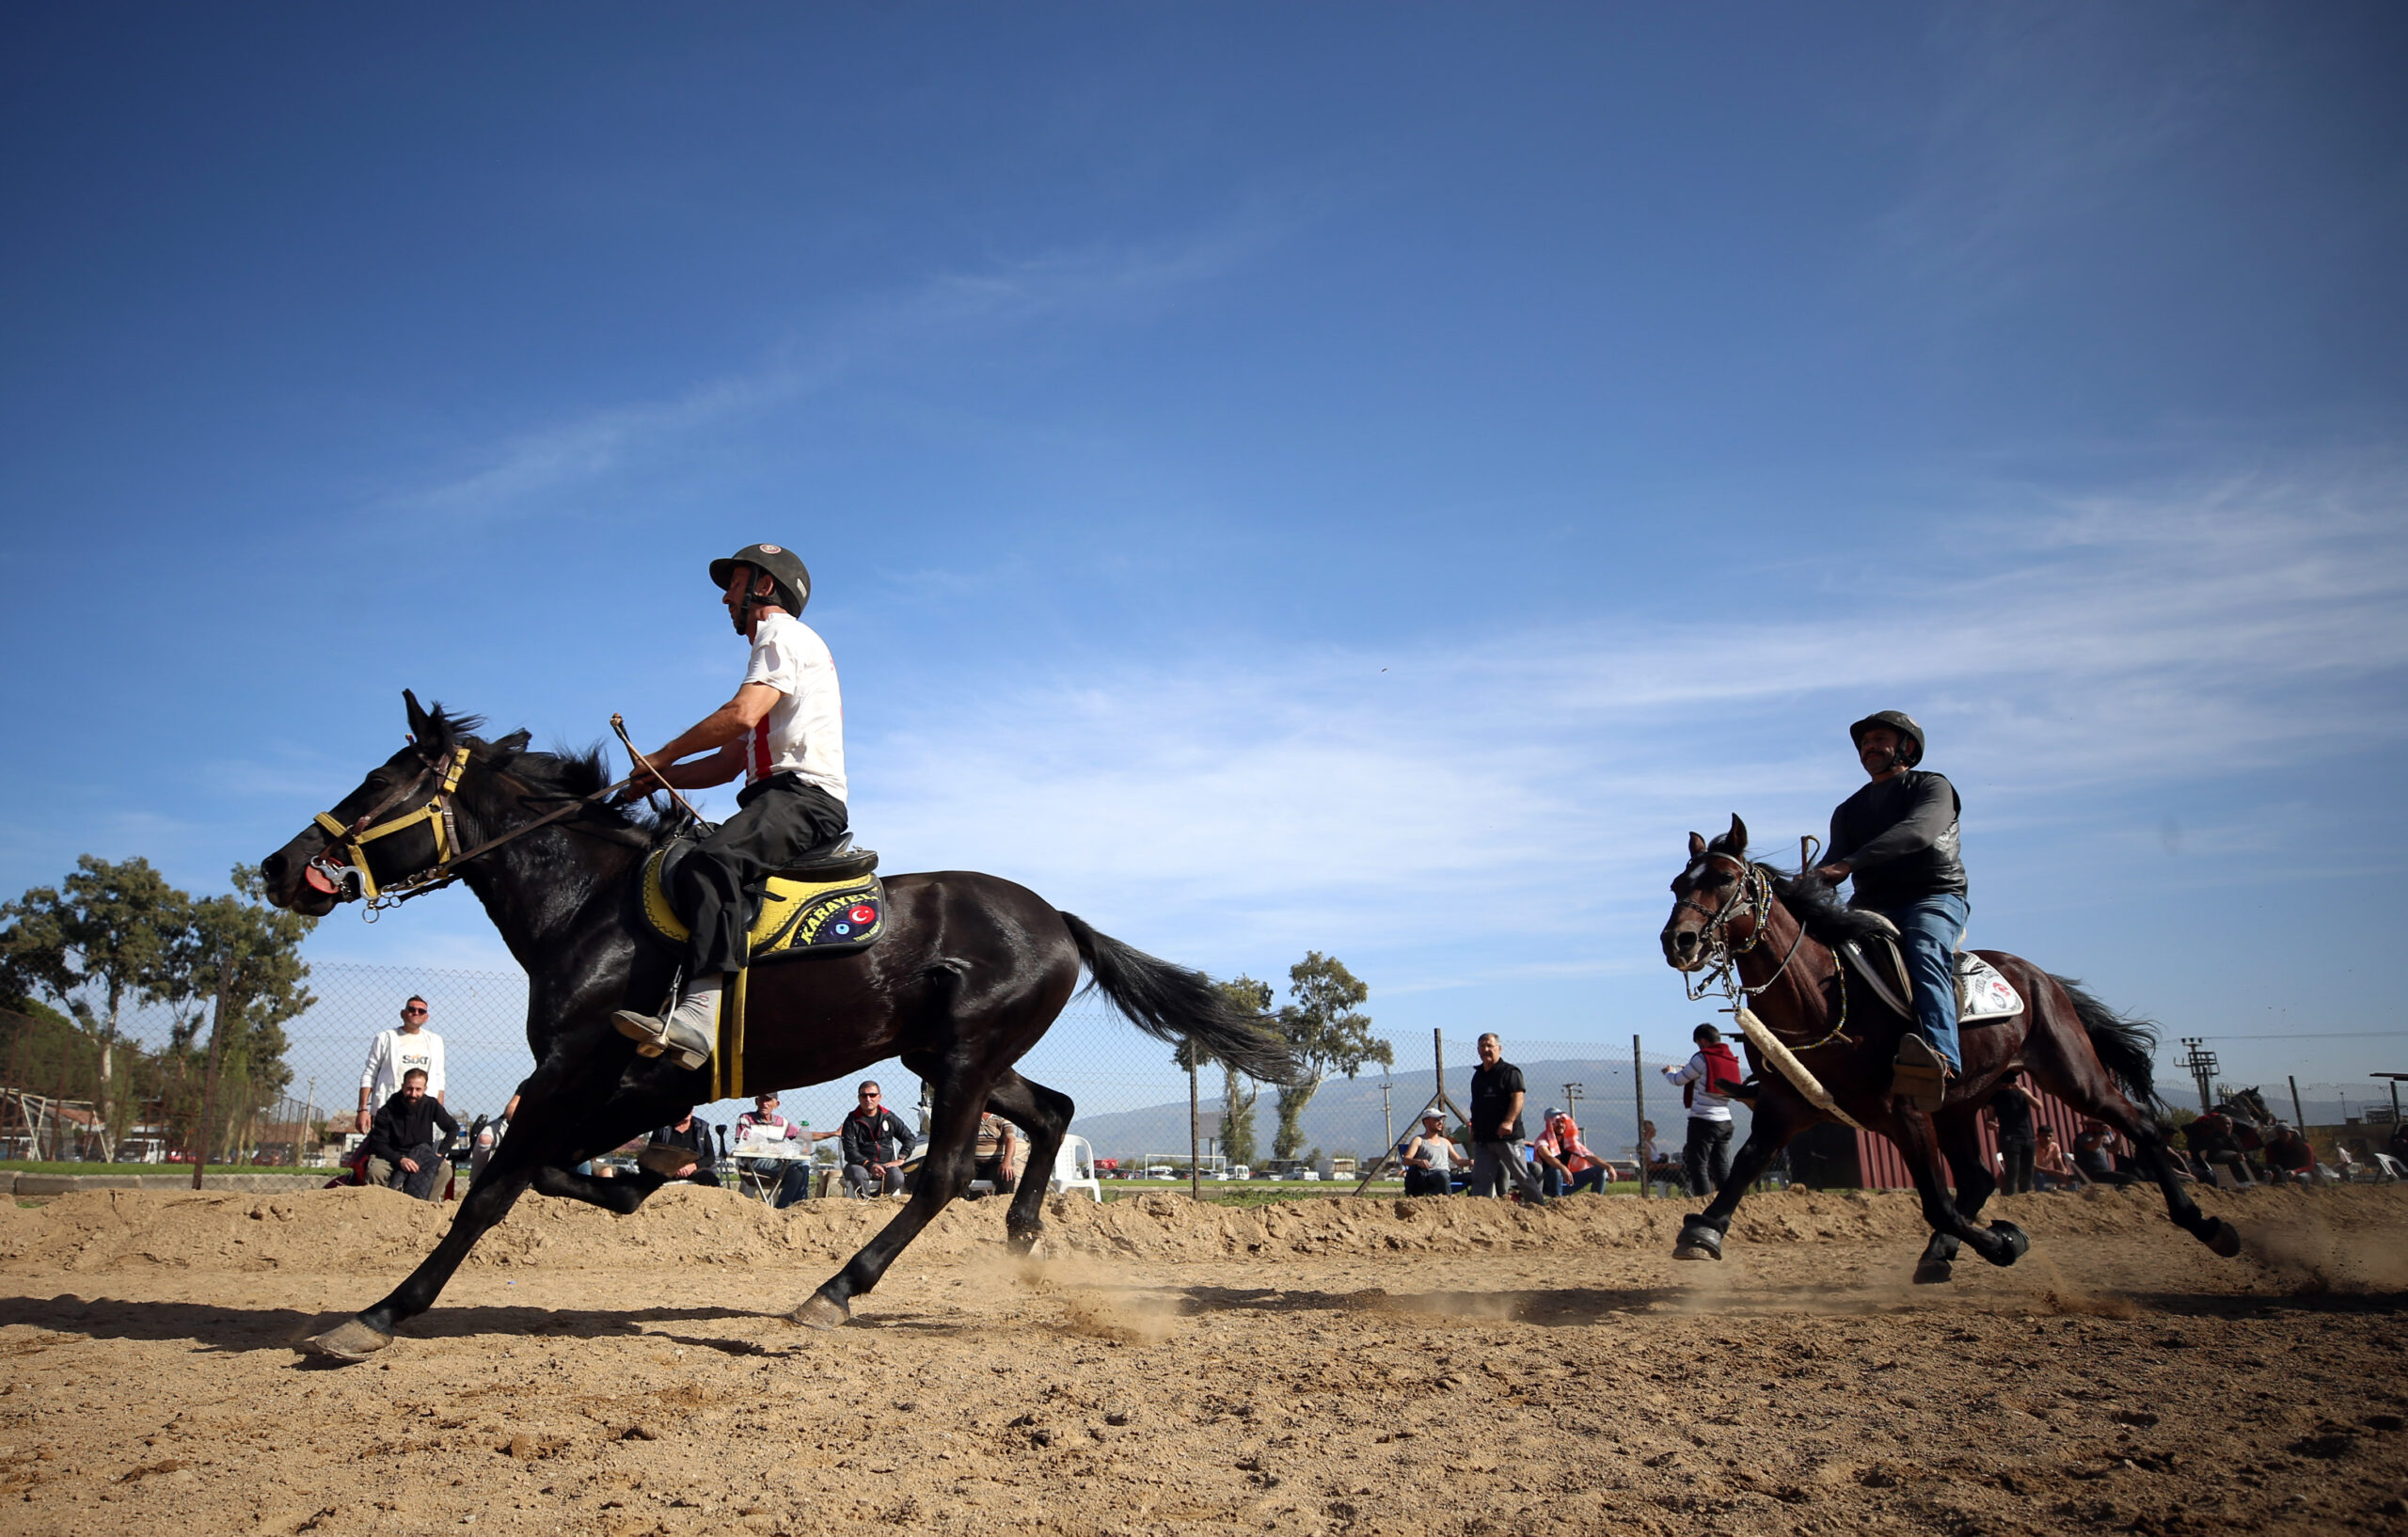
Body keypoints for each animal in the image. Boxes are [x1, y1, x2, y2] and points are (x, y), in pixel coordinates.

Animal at [263, 698, 1300, 1358]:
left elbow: (492, 1187)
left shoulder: (581, 1070)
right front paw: (646, 1177)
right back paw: (1019, 1238)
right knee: (1050, 1113)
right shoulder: (627, 1083)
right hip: (949, 1052)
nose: (279, 867)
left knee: (941, 1172)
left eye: (378, 783)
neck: (589, 905)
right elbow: (563, 1170)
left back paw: (836, 1291)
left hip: (963, 1058)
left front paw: (380, 1314)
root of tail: (1058, 918)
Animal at [1656, 823, 2234, 1281]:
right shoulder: (1788, 1106)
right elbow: (1745, 1164)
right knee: (1980, 1177)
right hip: (1962, 1105)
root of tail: (2043, 978)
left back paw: (2208, 1225)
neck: (1820, 997)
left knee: (2140, 1126)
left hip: (2072, 1076)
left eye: (1724, 878)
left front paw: (2005, 1240)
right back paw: (1939, 1254)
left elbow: (1936, 1200)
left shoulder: (1904, 1112)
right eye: (1678, 884)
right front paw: (1702, 1232)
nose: (1678, 941)